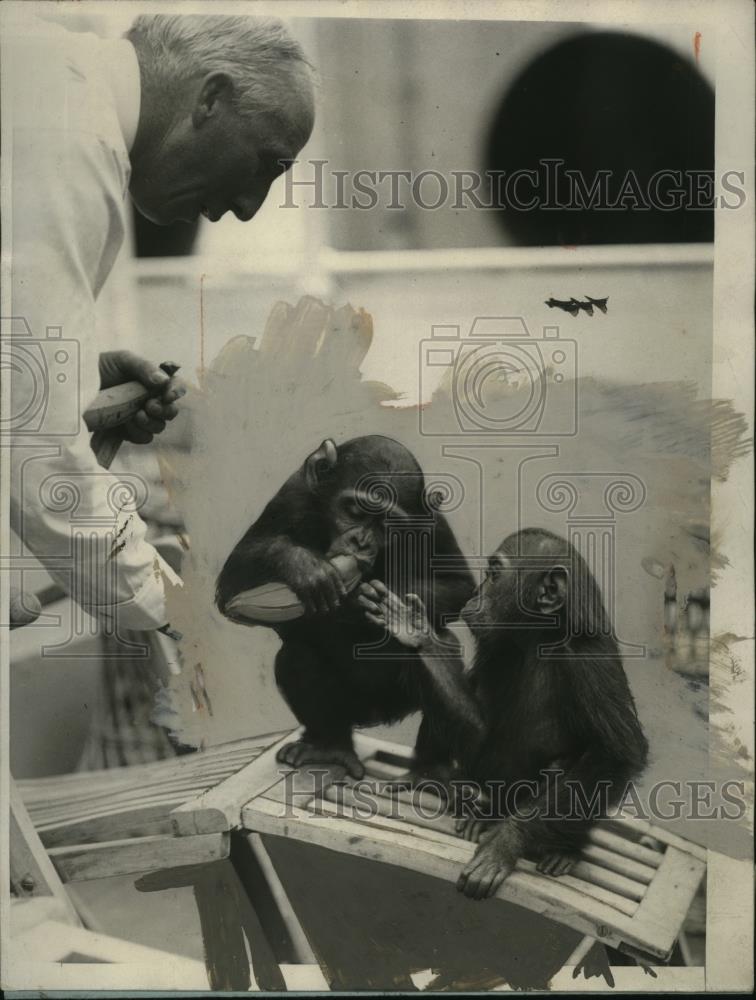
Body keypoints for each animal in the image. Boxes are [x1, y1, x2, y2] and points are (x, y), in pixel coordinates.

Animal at [216, 436, 472, 780]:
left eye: (388, 523)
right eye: (355, 510)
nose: (361, 541)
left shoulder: (433, 522)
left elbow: (459, 584)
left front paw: (366, 603)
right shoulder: (293, 496)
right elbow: (232, 580)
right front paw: (304, 568)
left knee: (444, 645)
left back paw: (429, 768)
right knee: (296, 655)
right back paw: (329, 747)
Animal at [360, 528, 648, 904]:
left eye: (495, 574)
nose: (476, 593)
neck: (542, 634)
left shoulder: (589, 660)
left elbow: (616, 754)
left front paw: (506, 843)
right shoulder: (496, 646)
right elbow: (480, 733)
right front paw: (415, 630)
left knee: (569, 767)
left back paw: (560, 849)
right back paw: (432, 778)